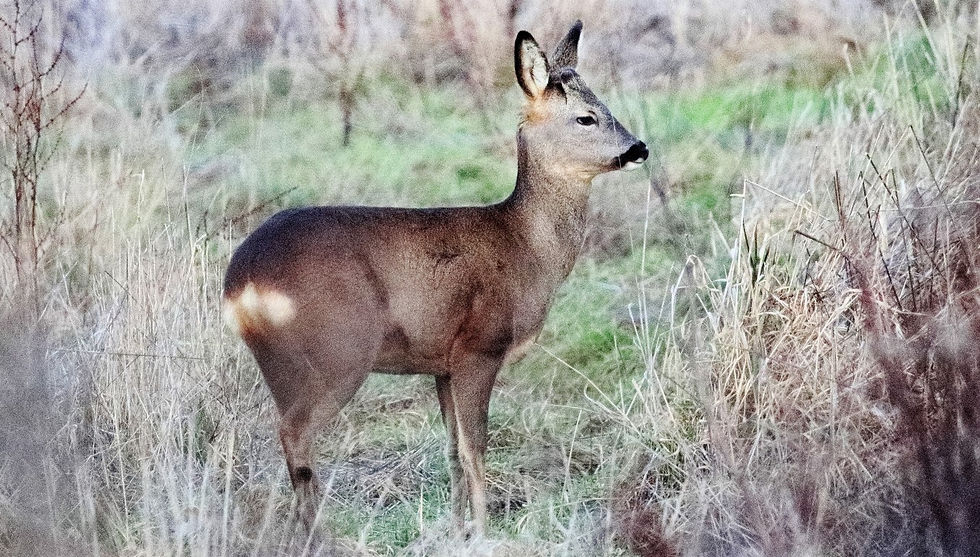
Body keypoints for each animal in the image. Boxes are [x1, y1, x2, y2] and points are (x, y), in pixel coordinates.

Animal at [222, 20, 647, 537]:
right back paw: (320, 536)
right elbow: (476, 447)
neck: (523, 245)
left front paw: (458, 528)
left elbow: (451, 451)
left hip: (287, 365)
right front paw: (484, 531)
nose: (639, 148)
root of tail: (239, 281)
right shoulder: (478, 348)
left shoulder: (440, 363)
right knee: (294, 435)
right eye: (587, 118)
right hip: (335, 353)